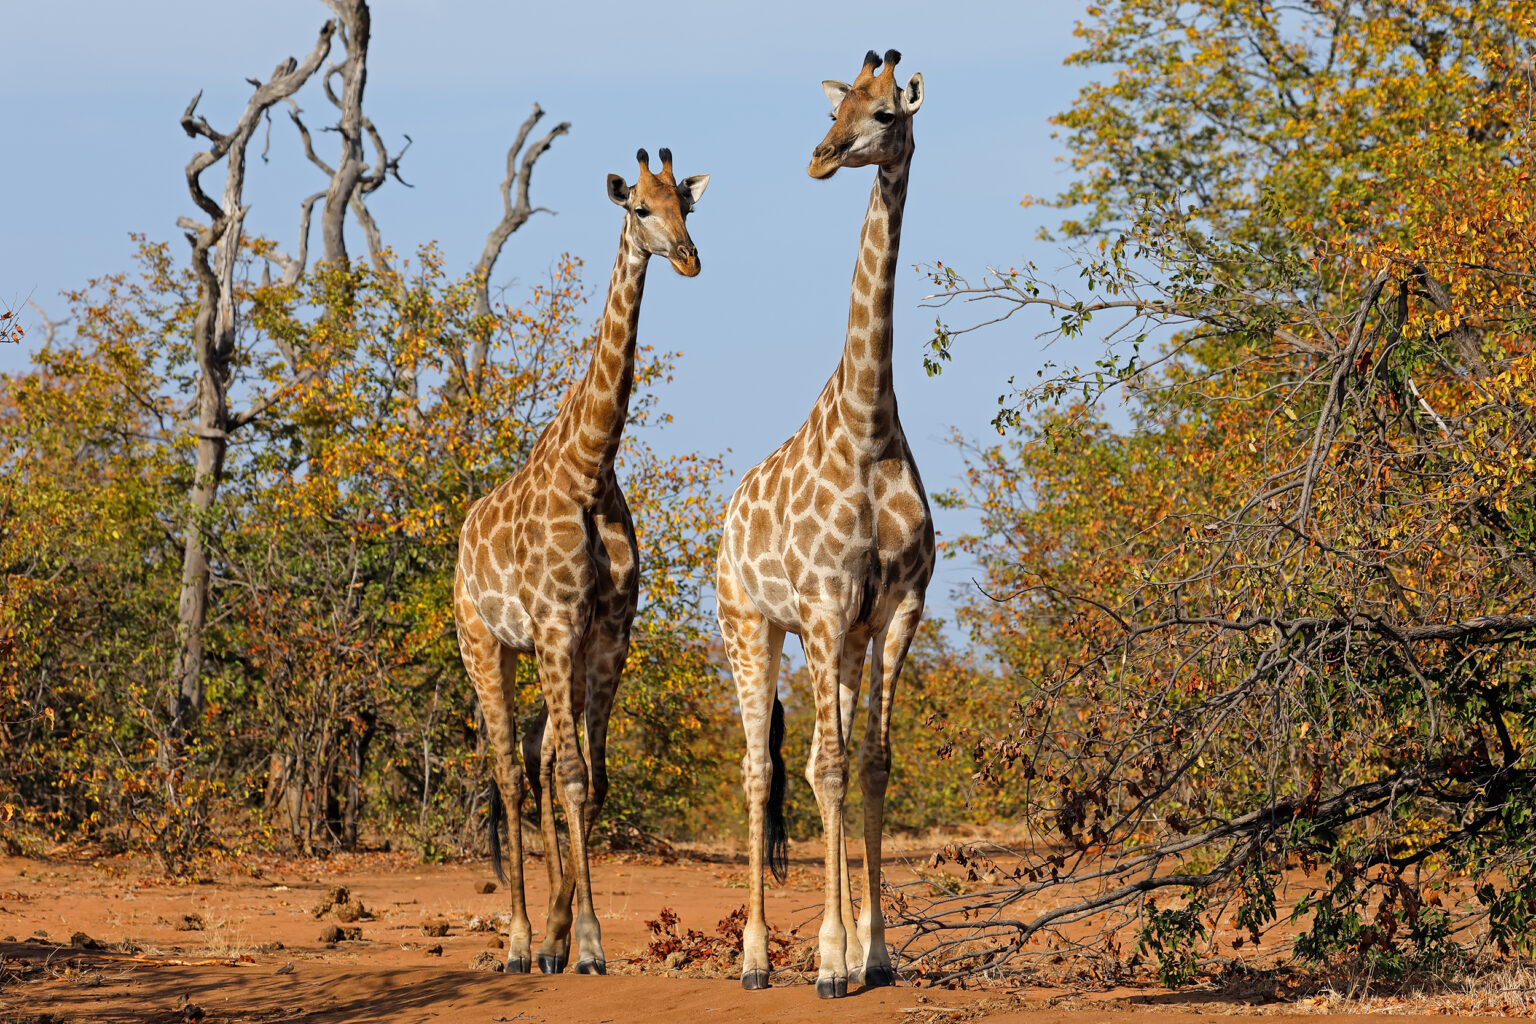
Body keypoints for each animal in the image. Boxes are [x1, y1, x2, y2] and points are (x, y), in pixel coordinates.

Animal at [451, 145, 709, 976]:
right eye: (640, 209)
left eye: (688, 206)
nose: (689, 259)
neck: (590, 468)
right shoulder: (558, 626)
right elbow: (568, 777)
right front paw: (585, 943)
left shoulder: (608, 636)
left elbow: (592, 779)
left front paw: (573, 937)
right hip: (485, 644)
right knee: (508, 773)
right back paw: (516, 941)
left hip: (535, 650)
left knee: (534, 760)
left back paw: (544, 937)